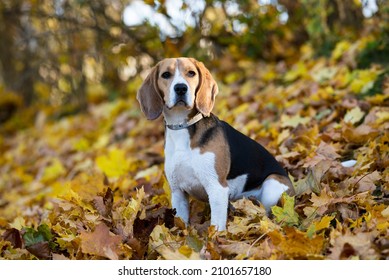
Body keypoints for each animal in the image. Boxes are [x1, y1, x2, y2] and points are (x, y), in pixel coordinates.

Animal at [136, 57, 292, 230]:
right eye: (165, 75)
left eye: (191, 73)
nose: (181, 88)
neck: (182, 126)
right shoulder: (178, 192)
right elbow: (181, 223)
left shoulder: (216, 188)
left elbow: (216, 226)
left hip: (272, 185)